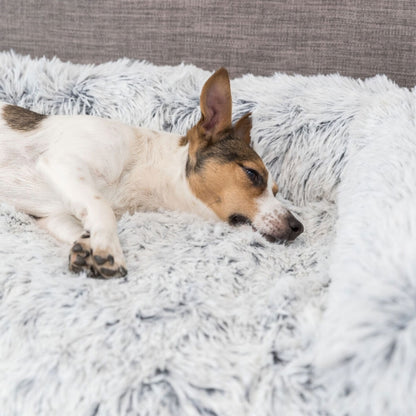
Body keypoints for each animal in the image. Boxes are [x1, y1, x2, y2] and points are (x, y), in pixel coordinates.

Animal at [0, 68, 302, 278]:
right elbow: (102, 208)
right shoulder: (62, 163)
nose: (298, 227)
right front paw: (109, 248)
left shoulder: (52, 215)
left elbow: (79, 224)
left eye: (276, 191)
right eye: (252, 174)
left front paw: (87, 246)